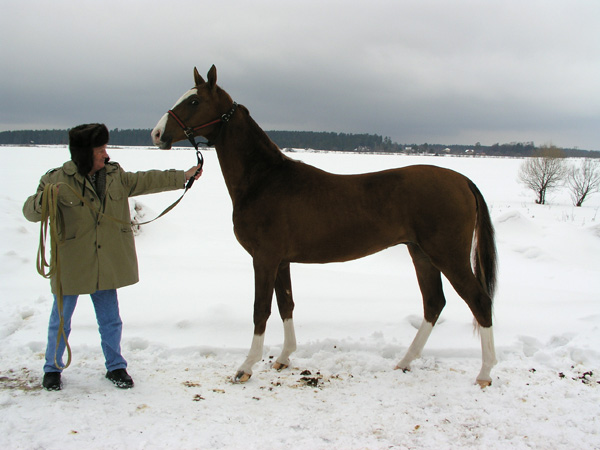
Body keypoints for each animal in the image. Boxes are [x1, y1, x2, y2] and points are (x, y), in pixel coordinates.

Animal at [152, 66, 500, 386]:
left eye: (194, 100)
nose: (157, 134)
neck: (264, 180)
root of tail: (462, 180)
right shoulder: (281, 261)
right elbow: (286, 304)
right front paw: (283, 357)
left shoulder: (264, 259)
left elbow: (261, 310)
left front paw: (246, 367)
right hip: (421, 254)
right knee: (434, 303)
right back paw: (405, 362)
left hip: (447, 255)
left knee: (479, 301)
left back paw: (484, 373)